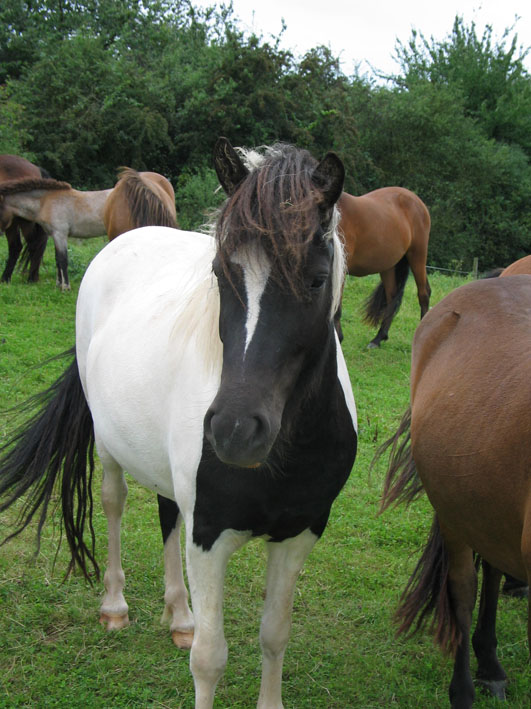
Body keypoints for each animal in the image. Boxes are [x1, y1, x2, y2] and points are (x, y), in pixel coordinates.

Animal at [0, 154, 50, 283]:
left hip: (24, 220)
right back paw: (5, 278)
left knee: (33, 244)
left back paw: (31, 279)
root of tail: (36, 168)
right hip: (12, 221)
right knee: (16, 247)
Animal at [338, 187, 431, 348]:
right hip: (389, 266)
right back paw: (378, 338)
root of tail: (417, 200)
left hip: (417, 255)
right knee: (391, 297)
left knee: (423, 293)